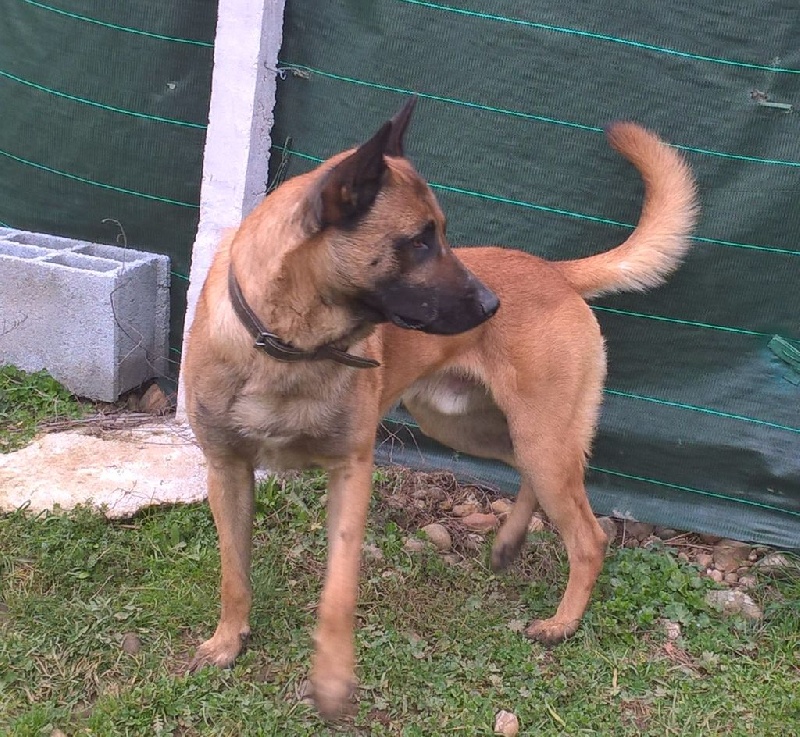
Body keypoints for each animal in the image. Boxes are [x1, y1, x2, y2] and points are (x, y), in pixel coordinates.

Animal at [182, 97, 697, 719]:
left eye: (442, 235)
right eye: (420, 241)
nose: (491, 304)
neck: (289, 347)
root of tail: (556, 272)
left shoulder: (351, 472)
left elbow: (338, 590)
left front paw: (332, 679)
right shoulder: (226, 470)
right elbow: (233, 571)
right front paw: (227, 642)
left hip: (541, 440)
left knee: (589, 538)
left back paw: (562, 623)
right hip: (470, 428)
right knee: (527, 476)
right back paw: (508, 545)